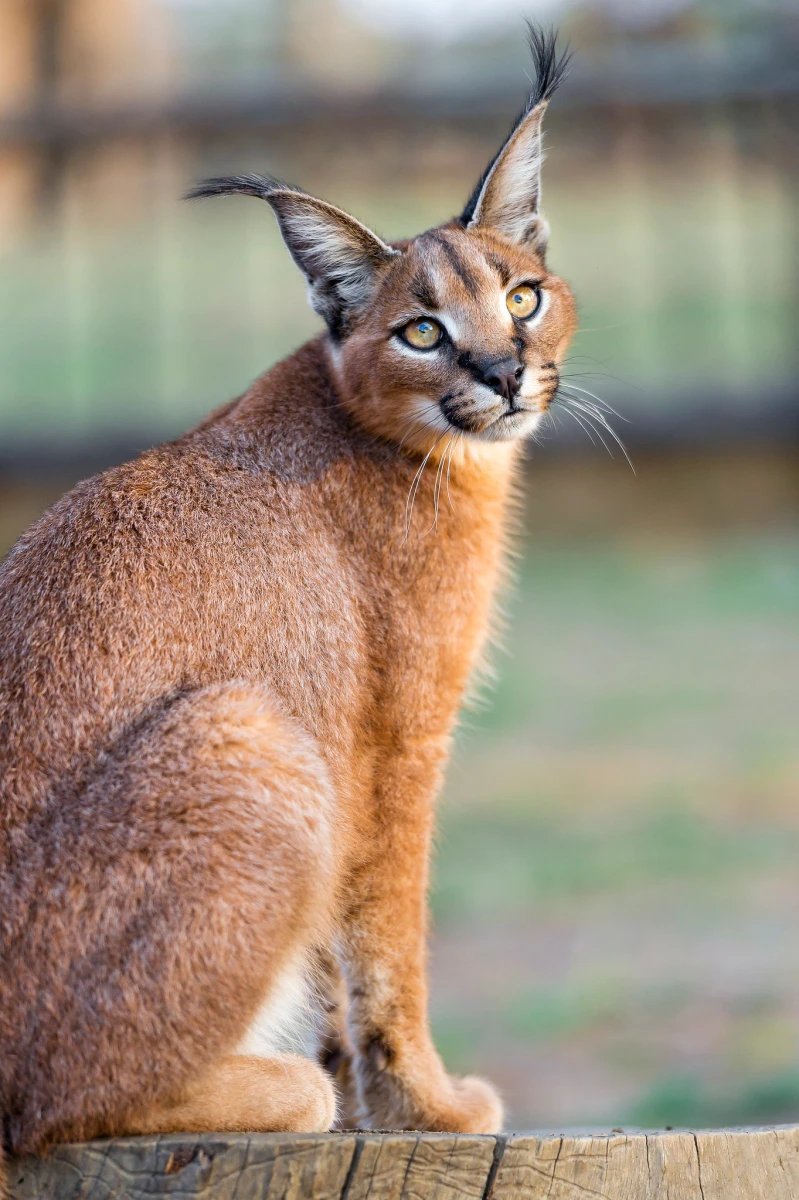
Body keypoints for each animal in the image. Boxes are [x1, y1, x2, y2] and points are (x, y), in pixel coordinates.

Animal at [0, 23, 573, 1161]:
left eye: (522, 295)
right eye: (421, 332)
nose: (500, 371)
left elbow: (333, 966)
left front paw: (368, 1102)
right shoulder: (395, 740)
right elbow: (388, 946)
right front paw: (430, 1110)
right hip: (249, 724)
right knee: (42, 1103)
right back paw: (279, 1090)